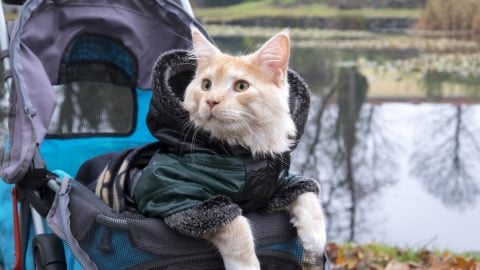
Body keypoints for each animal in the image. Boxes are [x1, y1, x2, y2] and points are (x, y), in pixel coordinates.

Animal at [182, 26, 328, 268]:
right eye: (206, 85)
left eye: (241, 86)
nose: (211, 101)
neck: (244, 153)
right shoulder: (187, 201)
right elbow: (237, 227)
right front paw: (246, 265)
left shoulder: (278, 185)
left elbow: (306, 194)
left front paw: (315, 236)